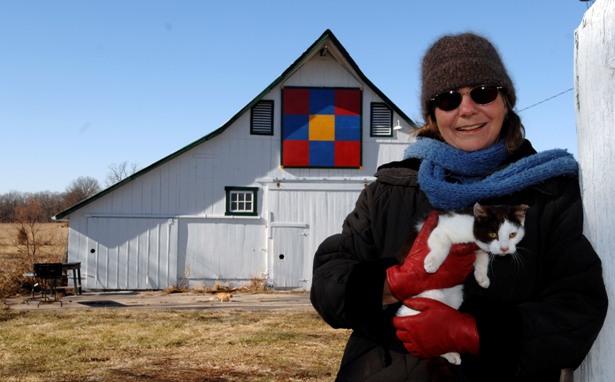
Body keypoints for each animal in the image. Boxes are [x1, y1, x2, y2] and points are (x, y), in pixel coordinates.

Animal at [398, 203, 532, 364]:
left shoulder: (478, 248)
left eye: (512, 235)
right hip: (429, 296)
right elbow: (442, 243)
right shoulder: (440, 229)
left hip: (453, 301)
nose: (504, 249)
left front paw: (482, 277)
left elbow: (483, 256)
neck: (472, 229)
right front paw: (432, 262)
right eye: (493, 235)